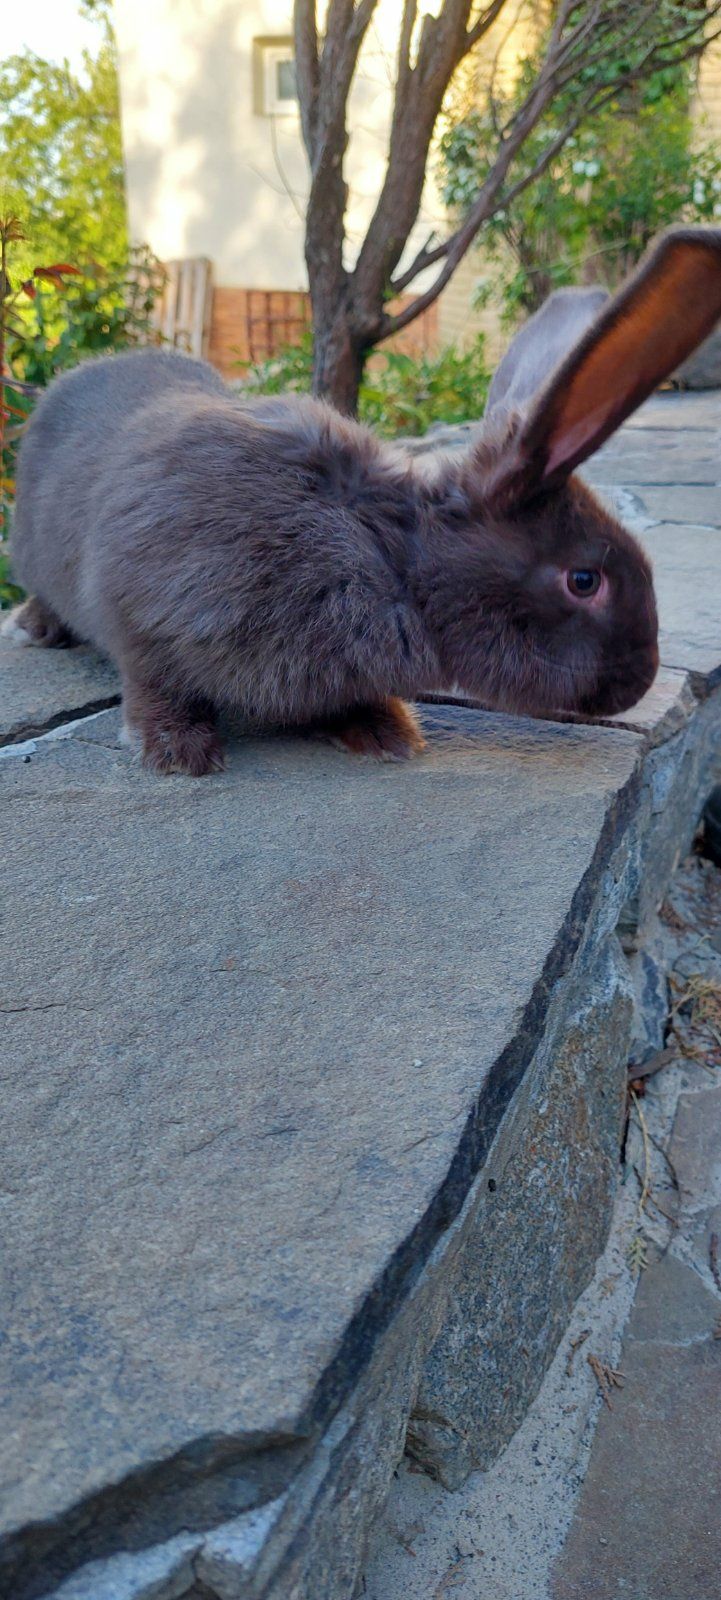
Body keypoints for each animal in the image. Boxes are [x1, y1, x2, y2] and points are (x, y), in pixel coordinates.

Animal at [4, 227, 721, 774]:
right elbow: (155, 682)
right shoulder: (142, 611)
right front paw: (178, 754)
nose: (640, 679)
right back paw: (37, 628)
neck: (387, 561)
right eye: (584, 580)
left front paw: (383, 730)